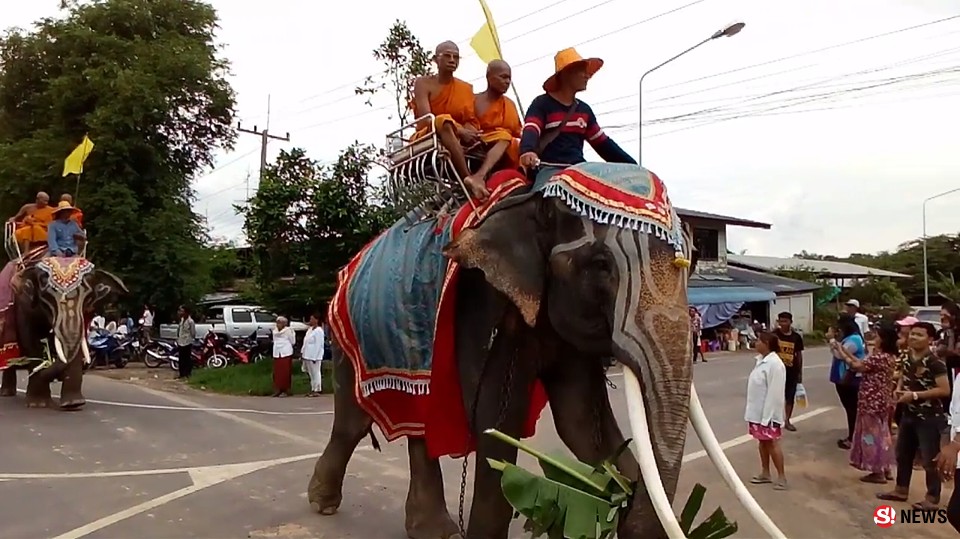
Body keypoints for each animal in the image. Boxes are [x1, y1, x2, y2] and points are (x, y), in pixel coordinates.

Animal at [0, 256, 126, 410]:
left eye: (88, 297)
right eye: (46, 296)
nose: (47, 366)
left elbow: (78, 346)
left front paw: (73, 404)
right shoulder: (24, 306)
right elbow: (31, 341)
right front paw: (38, 404)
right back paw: (7, 393)